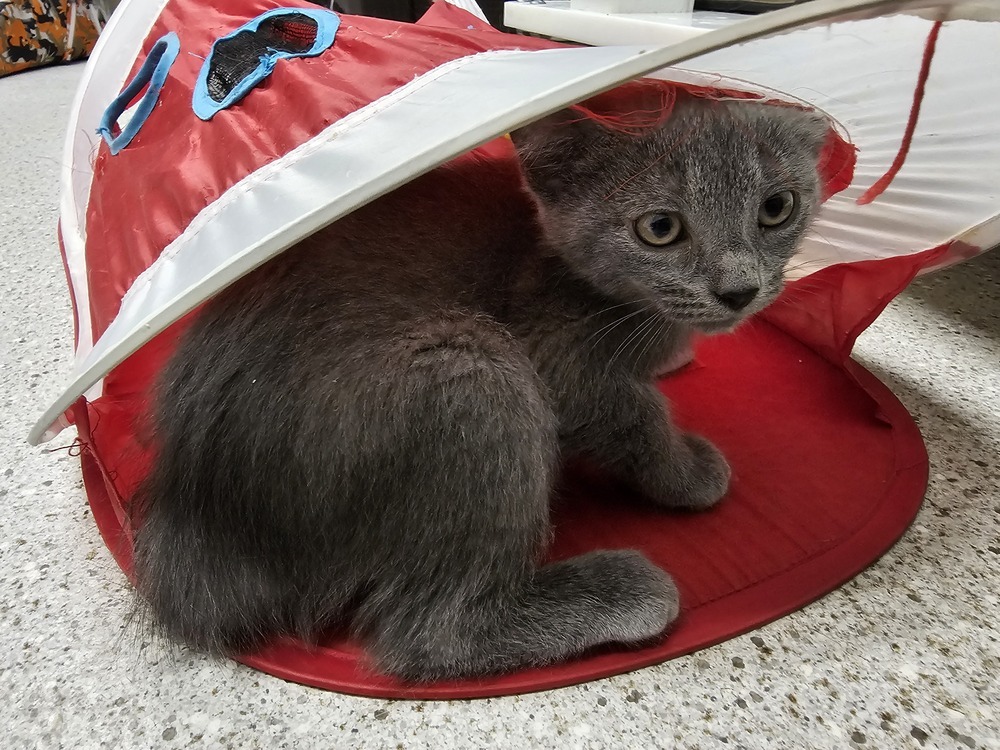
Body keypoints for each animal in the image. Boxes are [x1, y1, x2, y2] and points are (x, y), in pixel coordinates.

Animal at [131, 91, 828, 684]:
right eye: (659, 228)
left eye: (777, 208)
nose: (739, 290)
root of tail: (195, 506)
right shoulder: (555, 356)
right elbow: (633, 414)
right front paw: (684, 470)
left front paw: (674, 356)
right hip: (476, 372)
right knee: (427, 634)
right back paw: (623, 593)